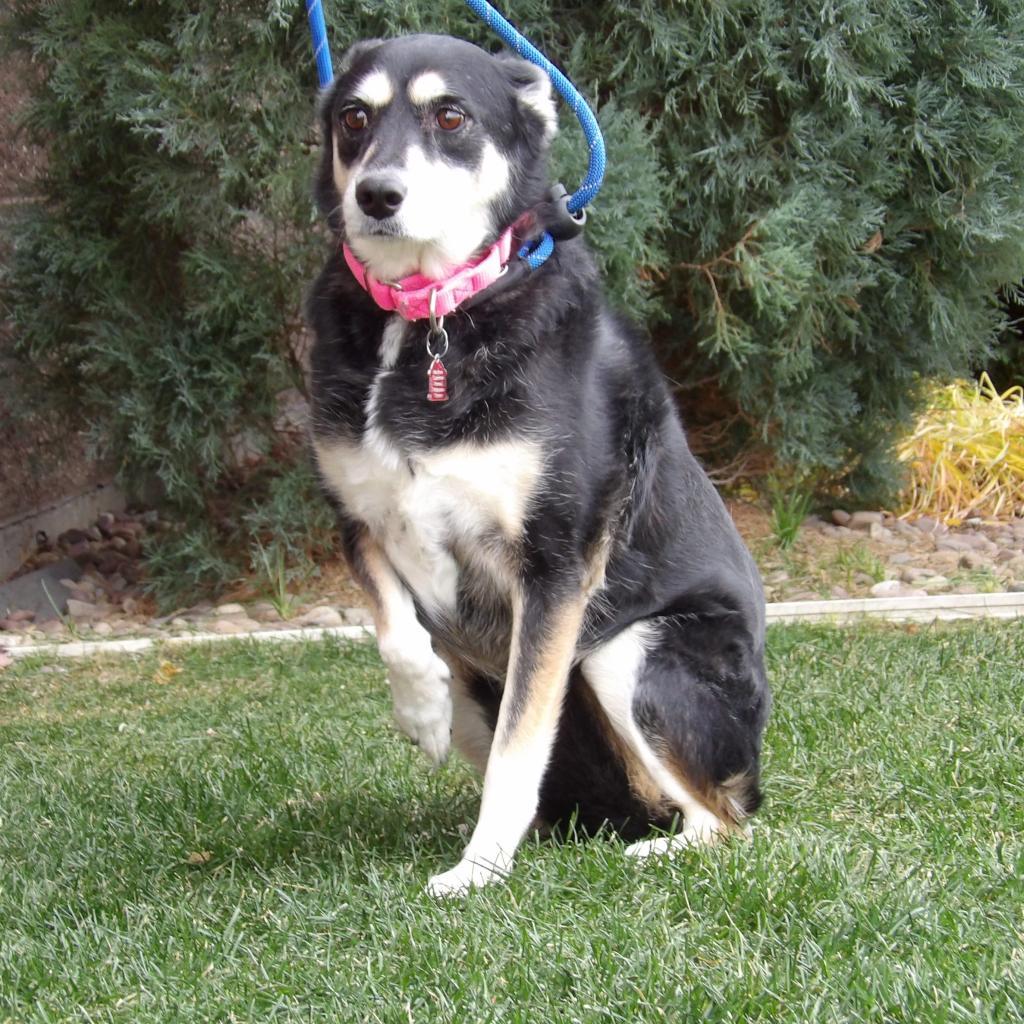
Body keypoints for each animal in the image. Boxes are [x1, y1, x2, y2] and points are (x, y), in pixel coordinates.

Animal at [303, 34, 770, 897]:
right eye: (353, 118)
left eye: (451, 116)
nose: (377, 195)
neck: (431, 319)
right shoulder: (359, 521)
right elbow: (398, 632)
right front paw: (418, 711)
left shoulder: (554, 566)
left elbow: (520, 748)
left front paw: (479, 869)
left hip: (632, 650)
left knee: (724, 822)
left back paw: (652, 847)